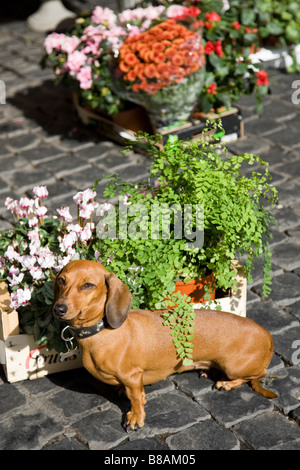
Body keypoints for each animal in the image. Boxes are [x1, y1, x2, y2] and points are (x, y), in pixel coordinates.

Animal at [52, 258, 278, 432]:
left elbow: (135, 398)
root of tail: (268, 335)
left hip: (234, 367)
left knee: (259, 374)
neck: (102, 331)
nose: (58, 309)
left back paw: (226, 383)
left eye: (88, 285)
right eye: (62, 280)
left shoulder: (132, 377)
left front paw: (135, 417)